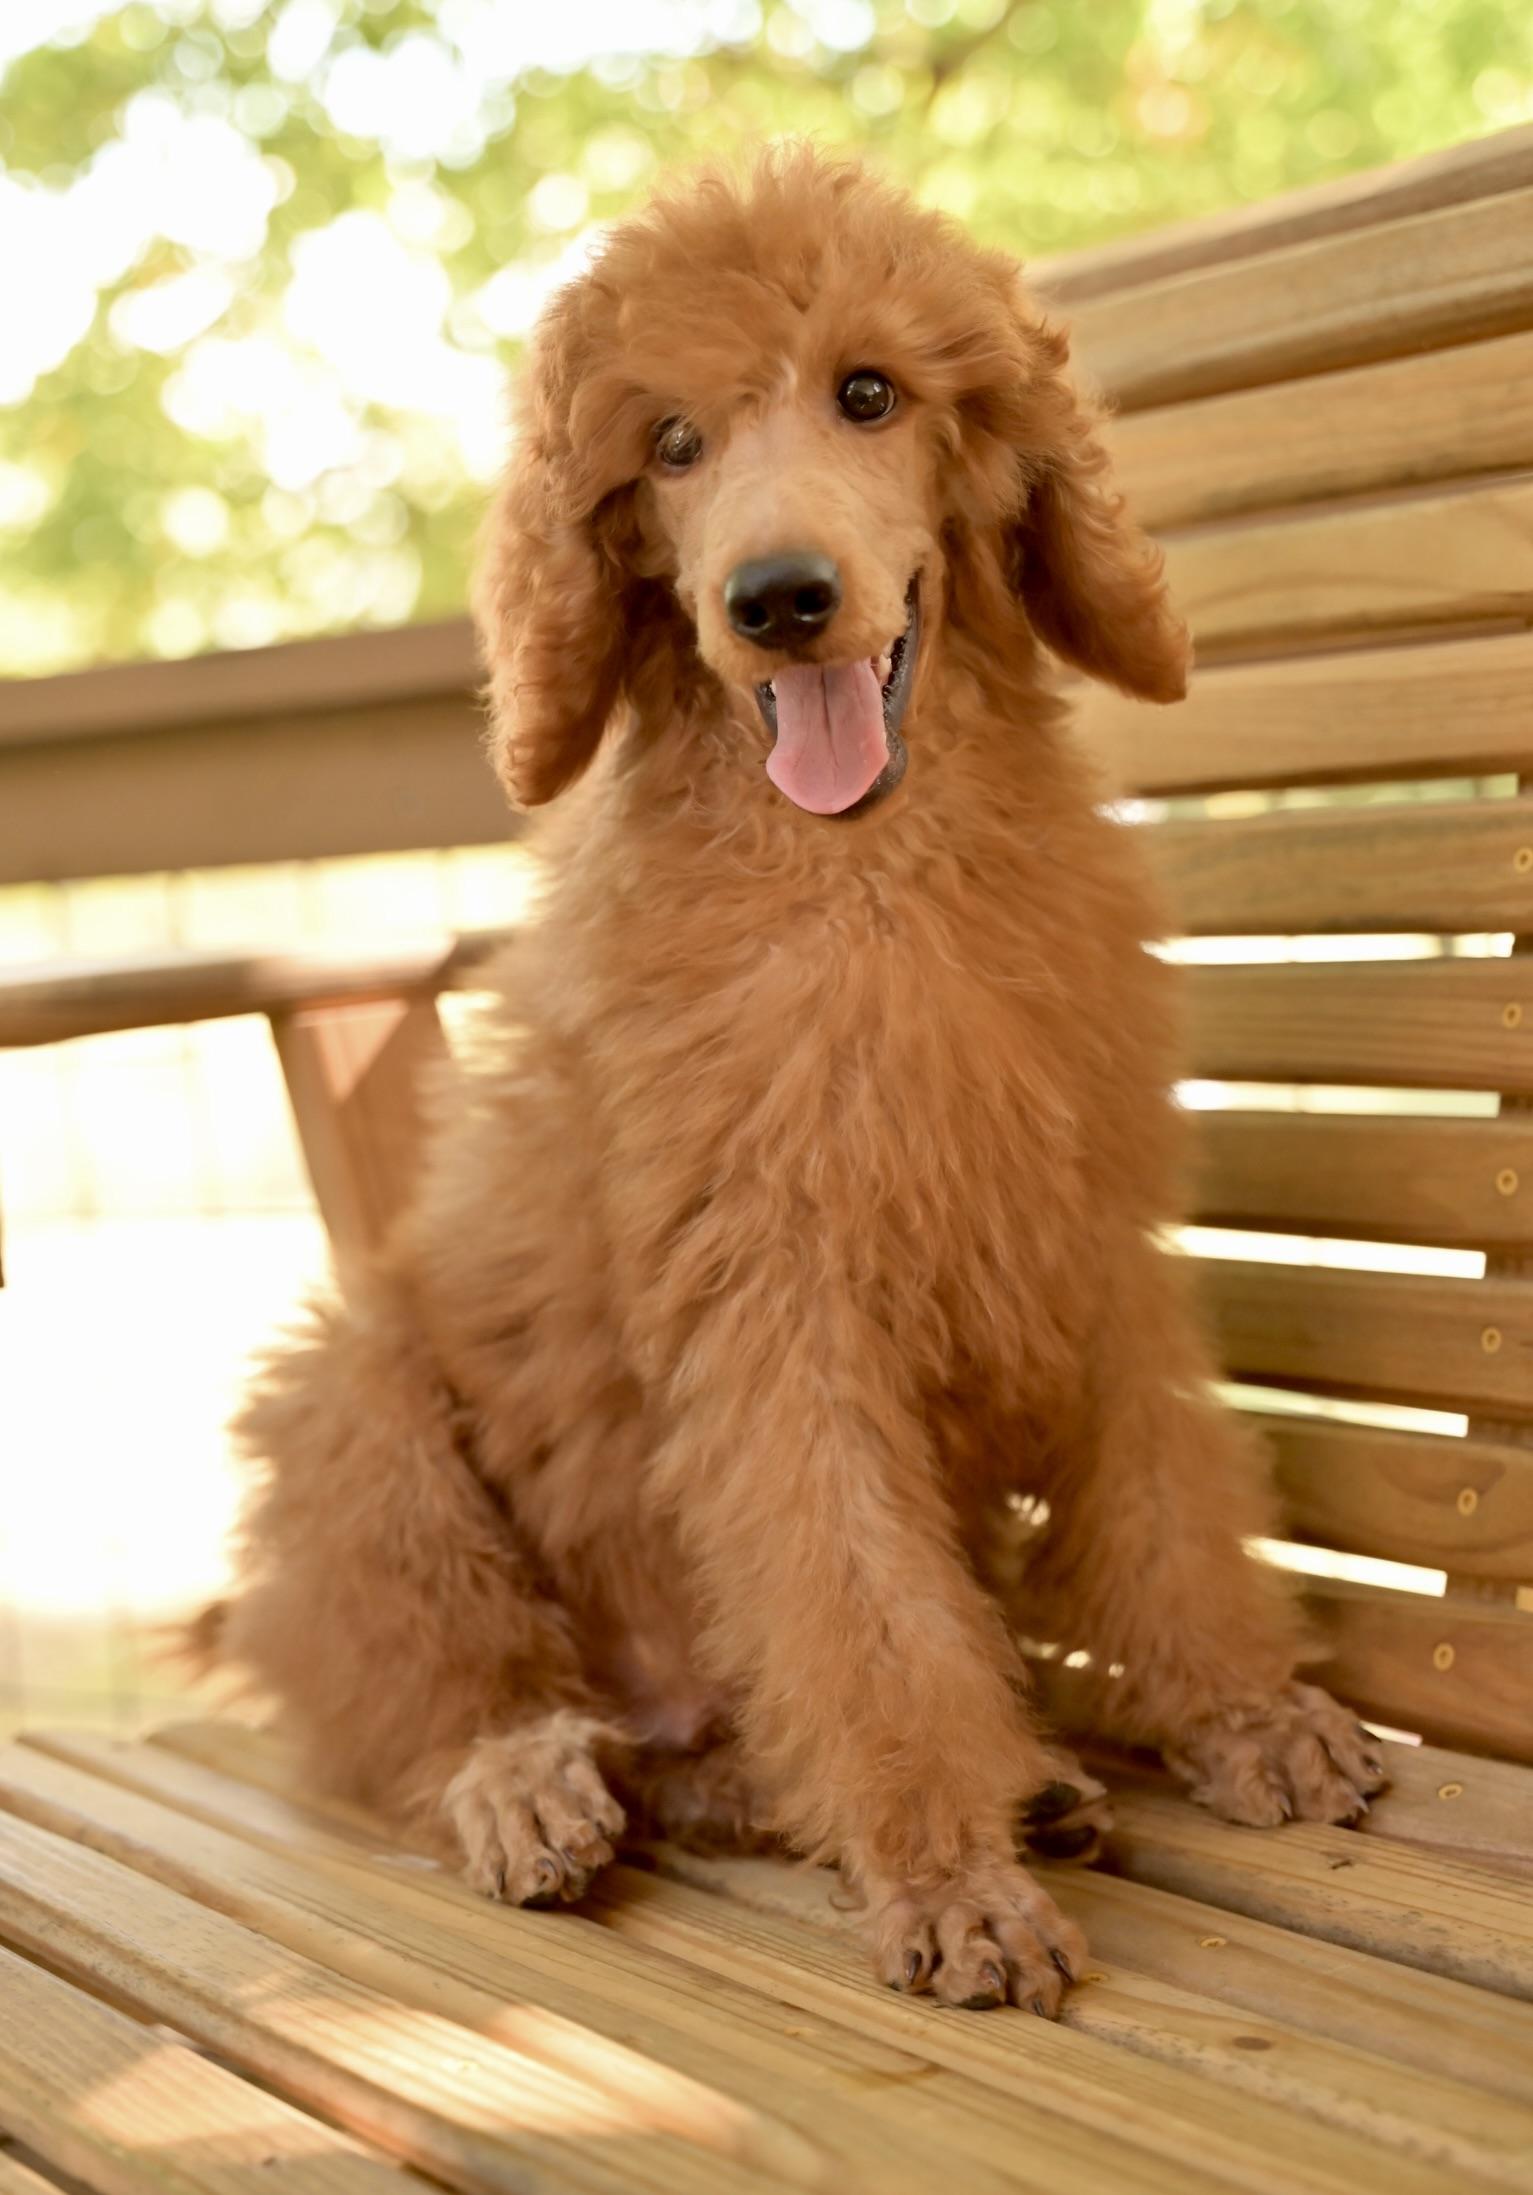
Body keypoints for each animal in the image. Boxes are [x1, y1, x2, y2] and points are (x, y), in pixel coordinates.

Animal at [216, 148, 1384, 2014]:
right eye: (673, 444)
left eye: (869, 394)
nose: (774, 598)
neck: (864, 879)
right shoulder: (775, 1313)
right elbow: (858, 1609)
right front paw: (947, 1876)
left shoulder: (1091, 1232)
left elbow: (1166, 1496)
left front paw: (1242, 1711)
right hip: (355, 1401)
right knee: (442, 1684)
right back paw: (526, 1785)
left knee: (718, 1760)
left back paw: (1005, 1782)